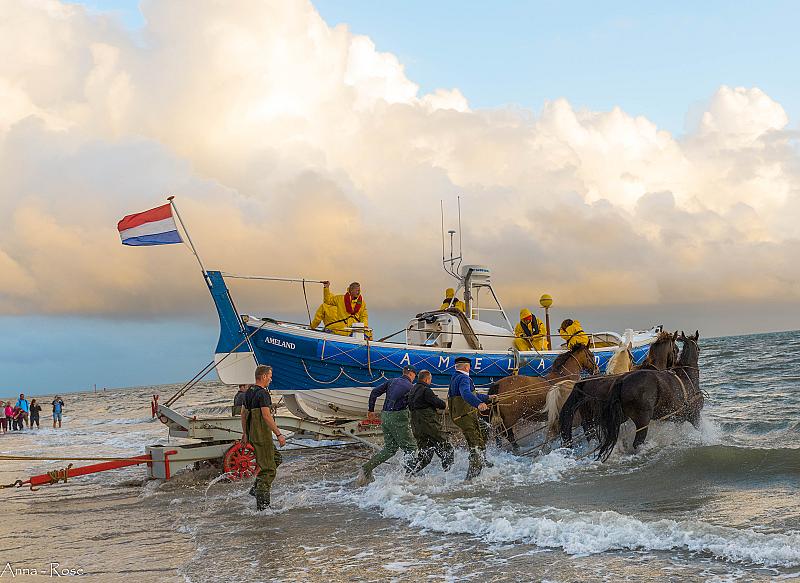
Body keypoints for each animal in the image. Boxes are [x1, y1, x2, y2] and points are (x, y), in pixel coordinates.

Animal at [595, 331, 702, 461]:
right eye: (676, 349)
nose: (672, 368)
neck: (687, 376)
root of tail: (622, 380)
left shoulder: (678, 419)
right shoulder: (694, 415)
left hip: (620, 417)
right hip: (643, 421)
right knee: (637, 442)